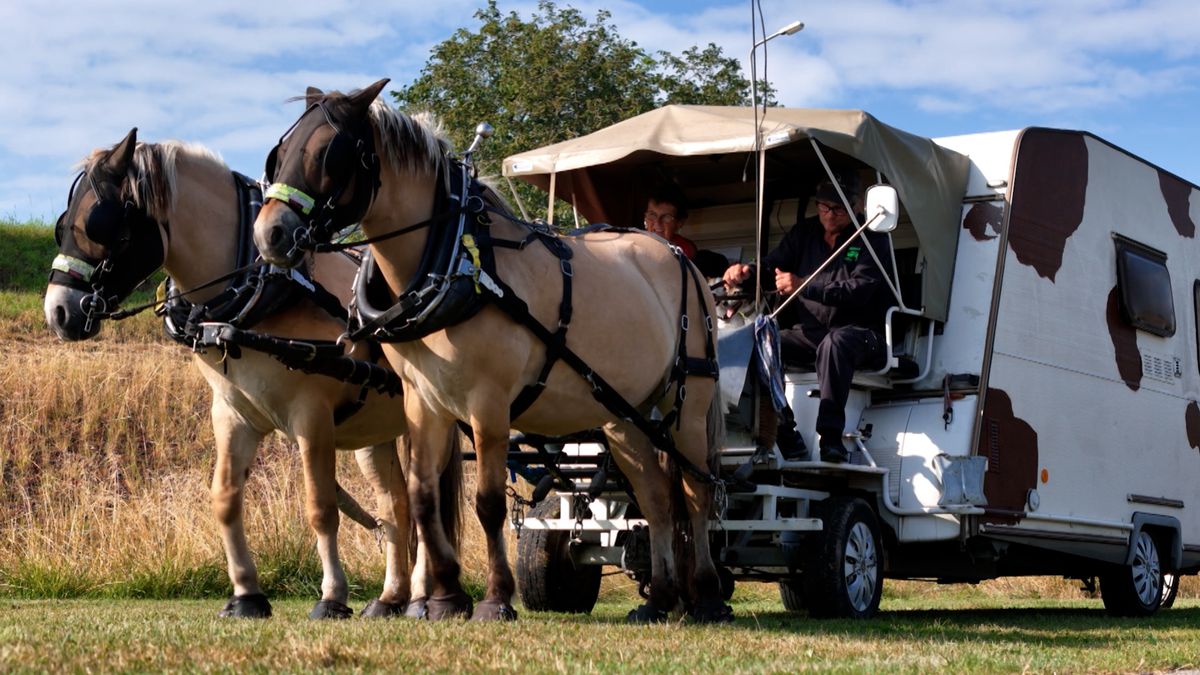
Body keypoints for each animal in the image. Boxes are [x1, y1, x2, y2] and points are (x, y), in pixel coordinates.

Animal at [44, 128, 461, 619]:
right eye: (62, 222)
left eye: (98, 223)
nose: (57, 311)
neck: (253, 297)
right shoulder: (232, 414)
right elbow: (225, 499)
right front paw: (246, 594)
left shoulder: (311, 417)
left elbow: (320, 506)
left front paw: (332, 596)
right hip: (374, 435)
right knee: (394, 504)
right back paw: (390, 597)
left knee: (423, 500)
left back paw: (421, 598)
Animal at [251, 80, 732, 623]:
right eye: (280, 154)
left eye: (327, 155)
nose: (269, 234)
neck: (456, 259)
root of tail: (680, 260)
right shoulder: (424, 400)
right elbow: (422, 498)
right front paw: (443, 598)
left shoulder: (489, 404)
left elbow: (488, 504)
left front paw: (496, 598)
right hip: (624, 415)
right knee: (655, 497)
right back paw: (662, 598)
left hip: (688, 401)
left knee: (696, 491)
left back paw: (706, 594)